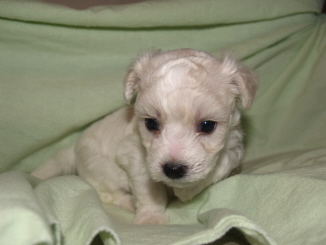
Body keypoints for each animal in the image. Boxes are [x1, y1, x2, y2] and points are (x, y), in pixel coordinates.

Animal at [33, 48, 258, 225]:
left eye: (207, 125)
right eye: (151, 123)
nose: (173, 170)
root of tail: (73, 148)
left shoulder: (233, 145)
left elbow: (224, 163)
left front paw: (187, 190)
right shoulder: (135, 156)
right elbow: (148, 191)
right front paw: (151, 217)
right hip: (99, 171)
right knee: (106, 193)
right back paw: (128, 201)